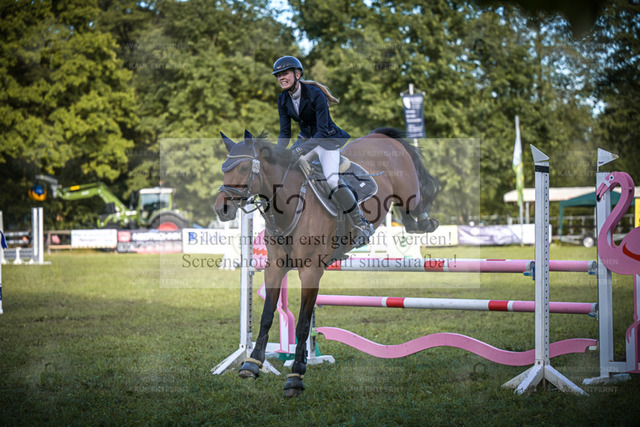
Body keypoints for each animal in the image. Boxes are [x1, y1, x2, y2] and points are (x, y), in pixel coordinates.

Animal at [213, 128, 439, 397]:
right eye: (224, 168)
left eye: (244, 168)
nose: (221, 209)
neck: (289, 206)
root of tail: (380, 135)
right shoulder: (275, 268)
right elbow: (267, 315)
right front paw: (251, 364)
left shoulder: (311, 271)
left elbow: (302, 325)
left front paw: (295, 377)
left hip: (406, 190)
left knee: (414, 205)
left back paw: (425, 221)